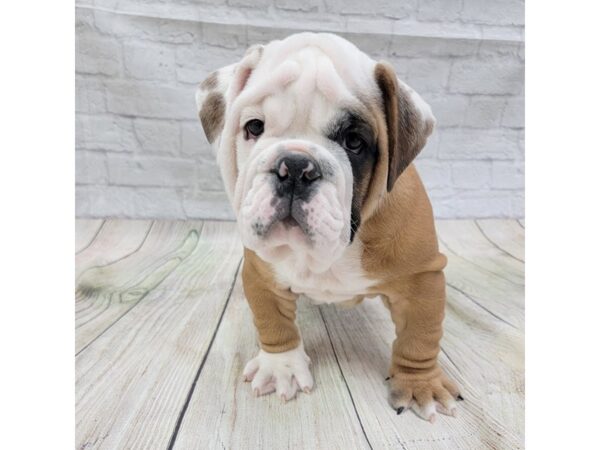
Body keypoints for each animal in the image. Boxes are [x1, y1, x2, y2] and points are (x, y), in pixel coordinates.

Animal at [195, 32, 462, 422]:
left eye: (354, 142)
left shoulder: (421, 278)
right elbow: (273, 321)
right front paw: (281, 367)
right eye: (254, 127)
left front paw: (420, 385)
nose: (294, 166)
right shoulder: (262, 273)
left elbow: (420, 335)